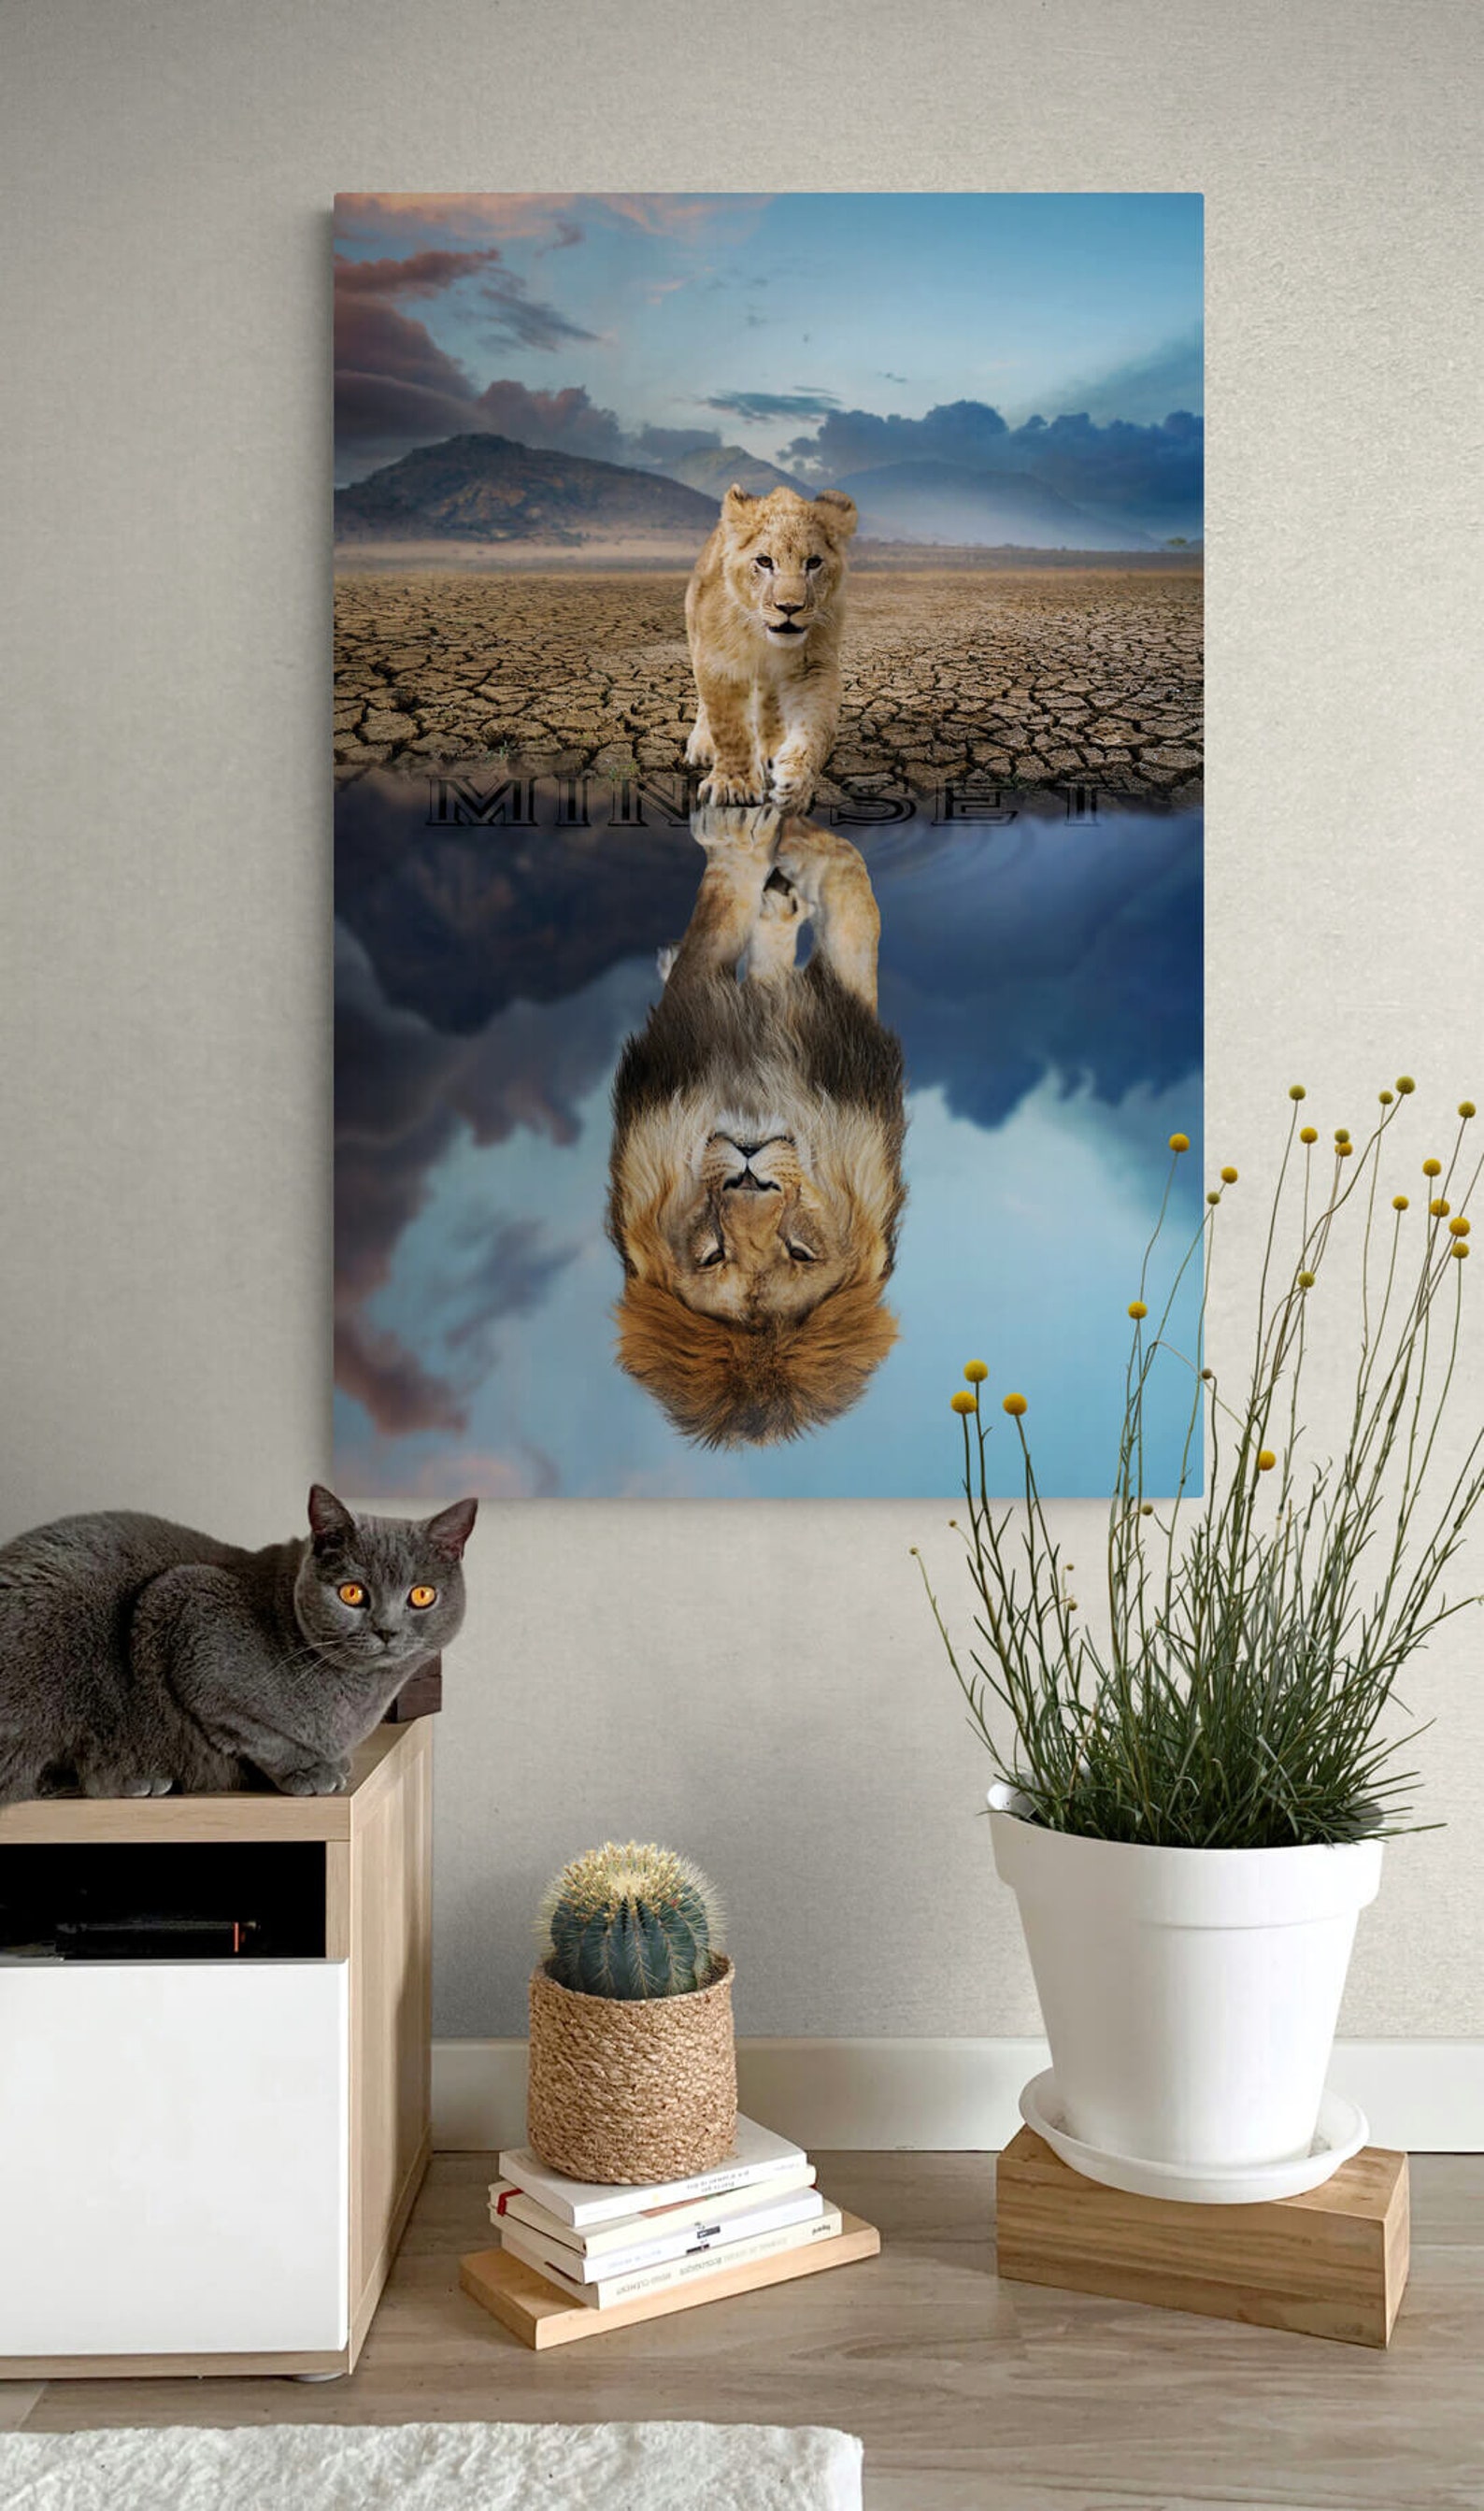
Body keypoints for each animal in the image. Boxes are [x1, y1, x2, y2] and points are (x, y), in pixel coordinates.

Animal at [608, 805, 906, 1448]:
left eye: (799, 1251)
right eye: (714, 1255)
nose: (749, 1176)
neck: (754, 1092)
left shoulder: (841, 1033)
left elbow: (851, 898)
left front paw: (772, 843)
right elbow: (840, 895)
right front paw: (762, 843)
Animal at [685, 485, 858, 814]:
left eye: (813, 562)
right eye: (765, 562)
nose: (789, 608)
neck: (763, 637)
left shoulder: (813, 666)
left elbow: (817, 728)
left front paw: (795, 782)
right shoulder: (719, 662)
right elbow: (729, 727)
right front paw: (734, 784)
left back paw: (771, 749)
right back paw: (702, 746)